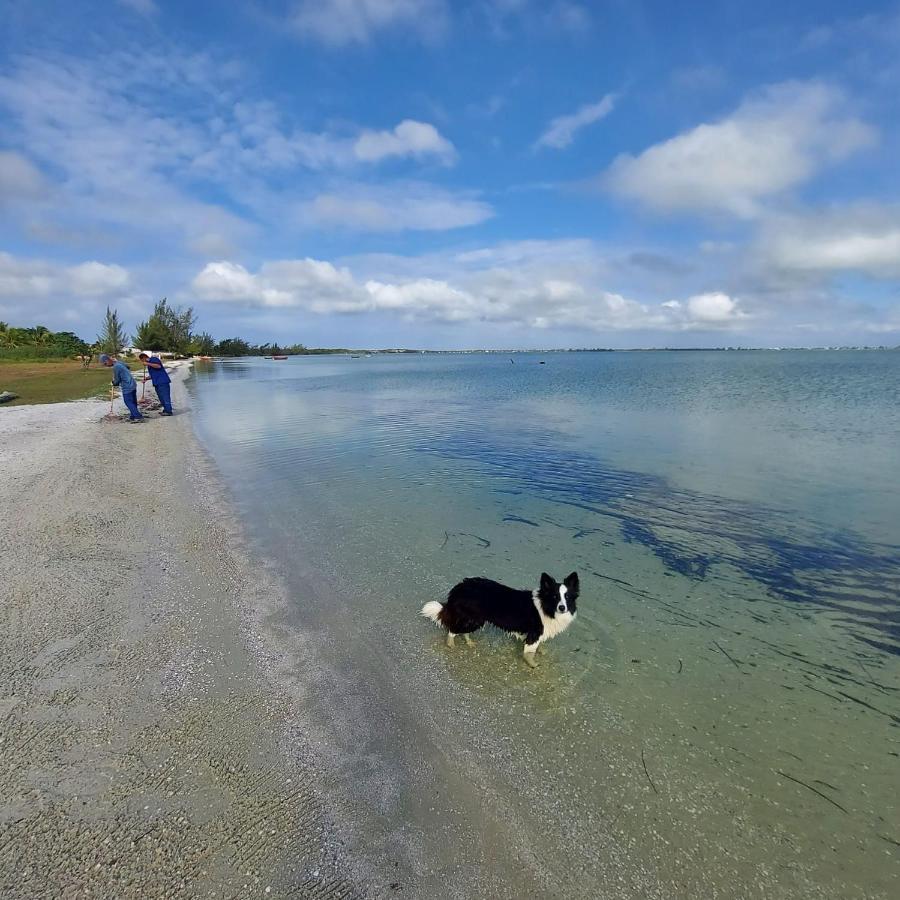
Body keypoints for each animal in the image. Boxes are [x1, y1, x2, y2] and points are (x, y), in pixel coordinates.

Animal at [420, 572, 580, 664]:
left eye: (567, 597)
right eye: (554, 597)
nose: (562, 608)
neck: (546, 607)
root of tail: (459, 587)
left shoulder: (536, 634)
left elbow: (537, 646)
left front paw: (541, 651)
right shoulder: (534, 633)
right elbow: (529, 653)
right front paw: (532, 664)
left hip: (474, 619)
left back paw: (469, 642)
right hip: (472, 619)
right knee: (452, 629)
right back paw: (451, 644)